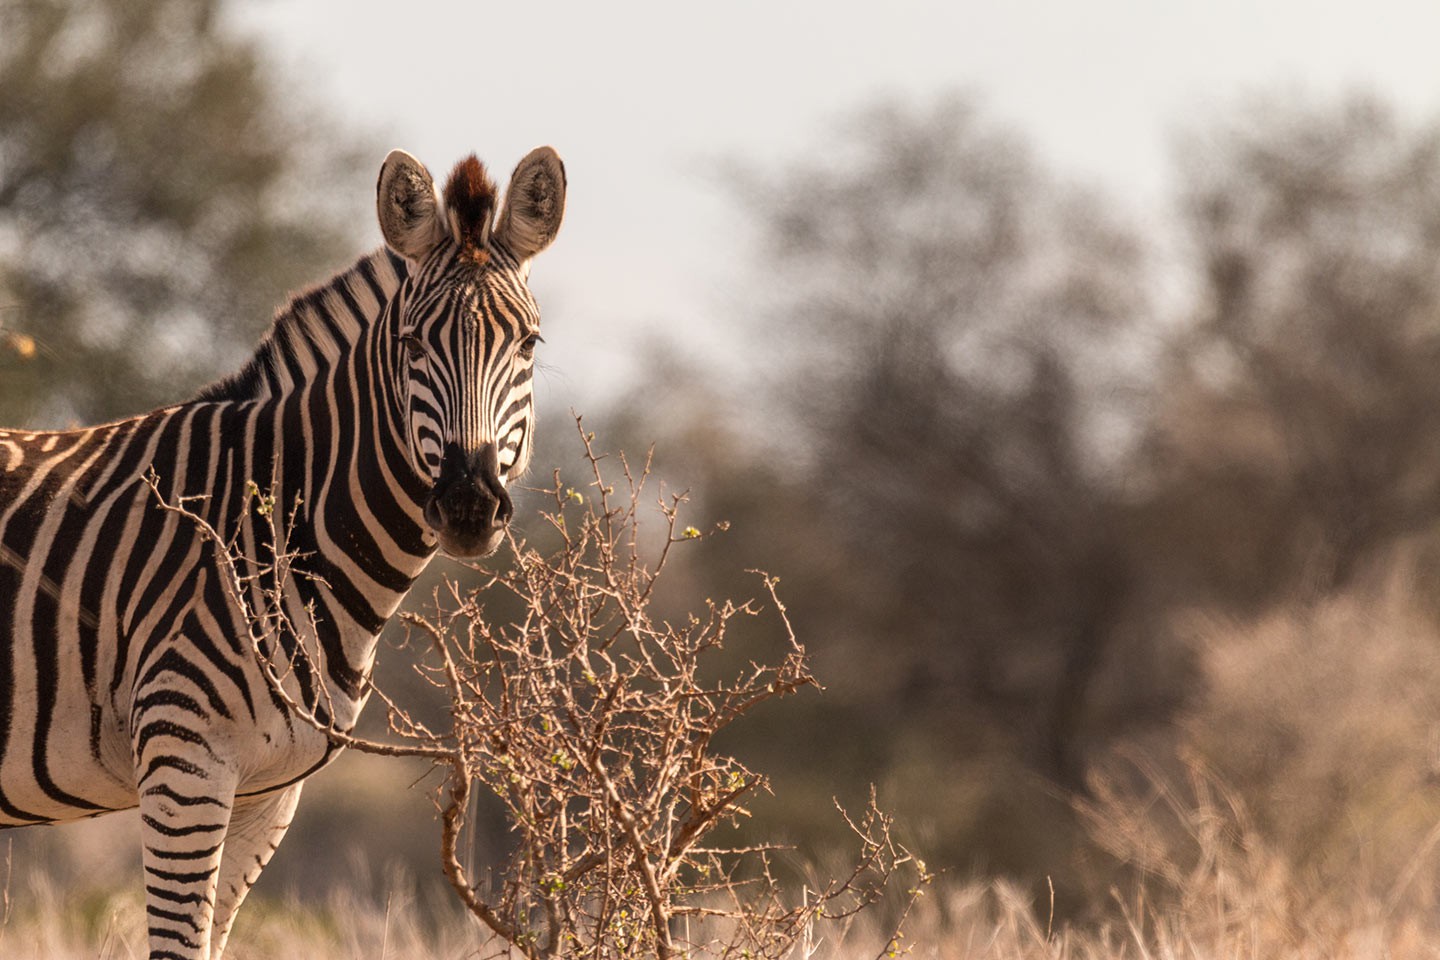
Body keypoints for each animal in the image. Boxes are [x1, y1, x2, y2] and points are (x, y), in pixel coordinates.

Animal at [0, 146, 567, 955]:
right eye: (410, 344)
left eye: (528, 344)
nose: (468, 505)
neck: (278, 524)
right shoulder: (183, 760)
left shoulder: (267, 792)